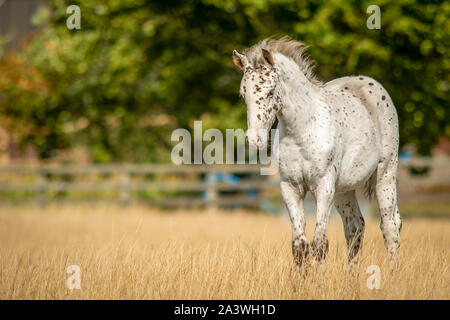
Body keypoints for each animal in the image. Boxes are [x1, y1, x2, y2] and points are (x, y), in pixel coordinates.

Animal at [232, 37, 400, 266]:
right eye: (243, 94)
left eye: (270, 91)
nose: (254, 140)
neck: (301, 131)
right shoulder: (290, 187)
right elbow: (300, 247)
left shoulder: (324, 187)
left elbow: (319, 245)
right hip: (344, 190)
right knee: (355, 226)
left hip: (385, 175)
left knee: (390, 226)